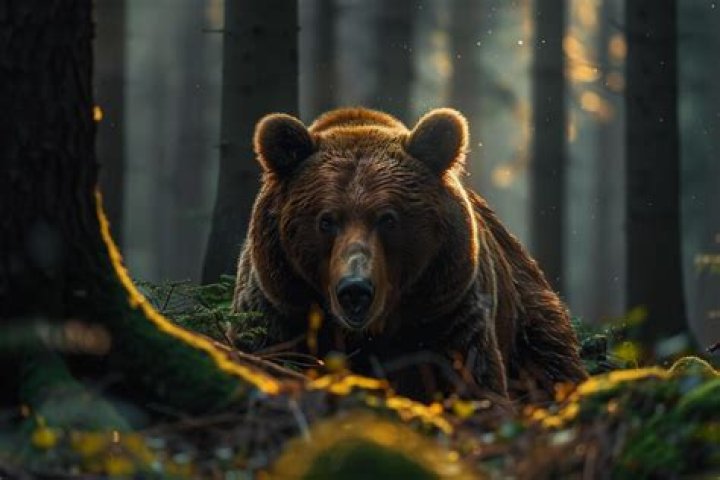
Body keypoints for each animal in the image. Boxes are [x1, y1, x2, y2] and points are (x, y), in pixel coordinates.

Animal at [232, 107, 587, 402]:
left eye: (388, 218)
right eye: (326, 220)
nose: (355, 290)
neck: (370, 332)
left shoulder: (445, 313)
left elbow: (470, 378)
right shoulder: (282, 306)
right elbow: (266, 351)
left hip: (526, 316)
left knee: (550, 360)